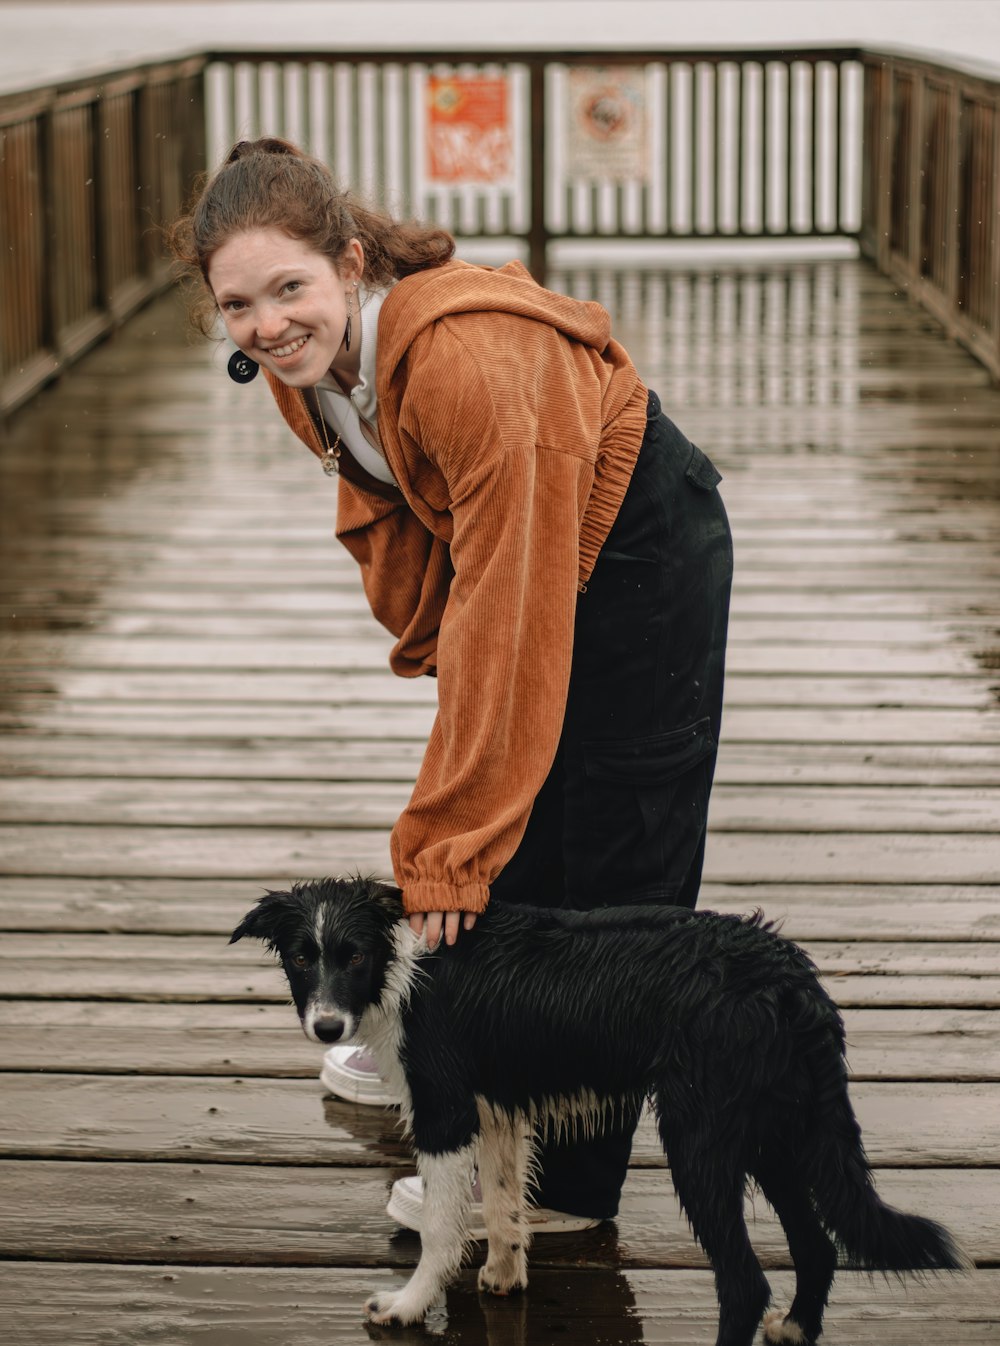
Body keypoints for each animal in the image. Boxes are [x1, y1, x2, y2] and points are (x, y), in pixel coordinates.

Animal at [230, 877, 963, 1340]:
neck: (399, 962)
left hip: (701, 1137)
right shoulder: (497, 1108)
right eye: (302, 956)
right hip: (777, 1131)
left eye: (352, 956)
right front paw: (504, 1275)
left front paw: (407, 1306)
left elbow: (440, 1228)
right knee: (817, 1249)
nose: (327, 1027)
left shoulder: (445, 1112)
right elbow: (503, 1204)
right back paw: (796, 1328)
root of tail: (789, 973)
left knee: (746, 1283)